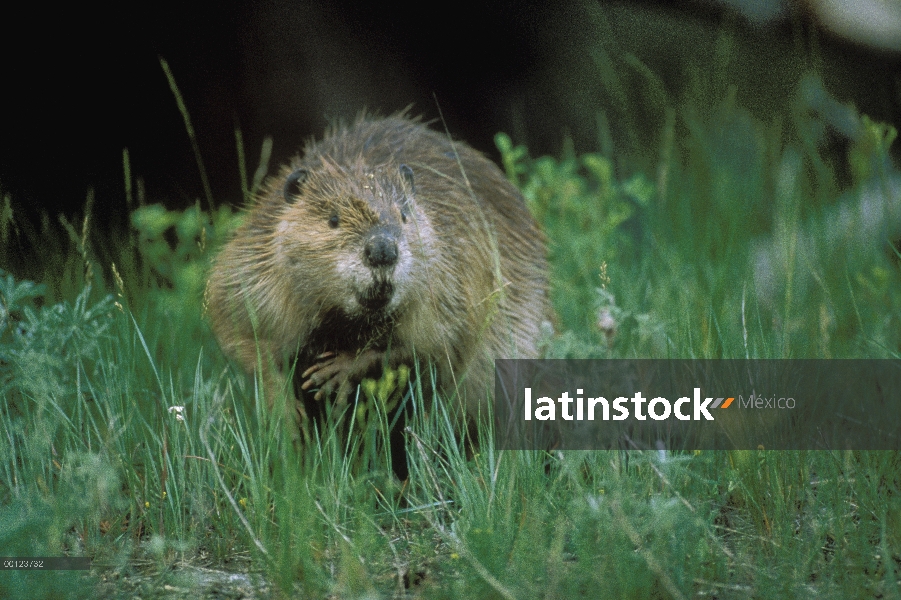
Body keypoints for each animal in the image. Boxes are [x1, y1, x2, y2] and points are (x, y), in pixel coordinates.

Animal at [207, 113, 552, 432]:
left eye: (403, 215)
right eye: (333, 219)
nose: (382, 251)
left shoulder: (456, 276)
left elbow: (440, 346)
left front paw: (338, 372)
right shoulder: (252, 270)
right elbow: (239, 332)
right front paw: (289, 409)